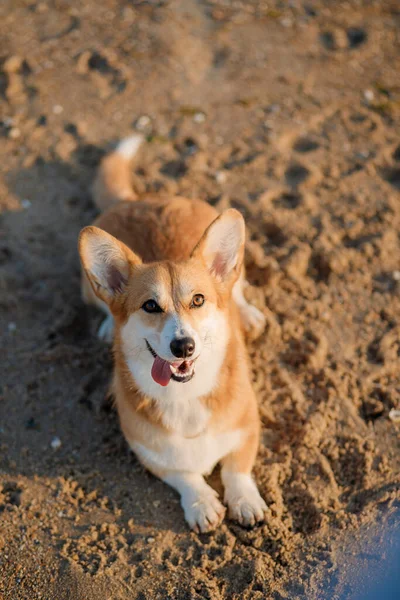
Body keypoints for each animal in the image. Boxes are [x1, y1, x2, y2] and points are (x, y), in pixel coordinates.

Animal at [78, 135, 268, 528]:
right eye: (150, 306)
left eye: (198, 300)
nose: (183, 346)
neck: (186, 396)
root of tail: (136, 199)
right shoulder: (149, 452)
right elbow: (184, 475)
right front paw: (201, 504)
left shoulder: (248, 427)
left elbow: (236, 469)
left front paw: (245, 501)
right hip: (87, 289)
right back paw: (105, 326)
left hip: (237, 270)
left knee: (238, 290)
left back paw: (248, 315)